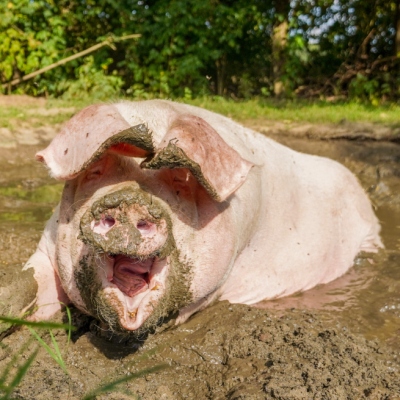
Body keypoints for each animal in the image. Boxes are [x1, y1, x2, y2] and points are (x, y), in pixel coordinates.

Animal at [23, 100, 382, 332]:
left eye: (181, 180)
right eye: (96, 170)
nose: (129, 200)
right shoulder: (47, 244)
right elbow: (34, 279)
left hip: (371, 232)